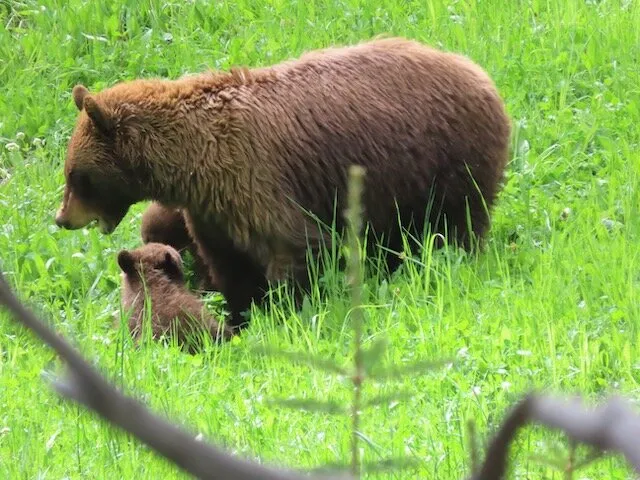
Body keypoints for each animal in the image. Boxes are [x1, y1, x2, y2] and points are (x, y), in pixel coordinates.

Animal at [54, 37, 511, 331]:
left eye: (76, 175)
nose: (61, 218)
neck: (191, 162)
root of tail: (479, 72)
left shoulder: (255, 177)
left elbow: (291, 248)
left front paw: (285, 312)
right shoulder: (212, 210)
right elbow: (230, 265)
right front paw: (241, 313)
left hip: (444, 161)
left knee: (455, 224)